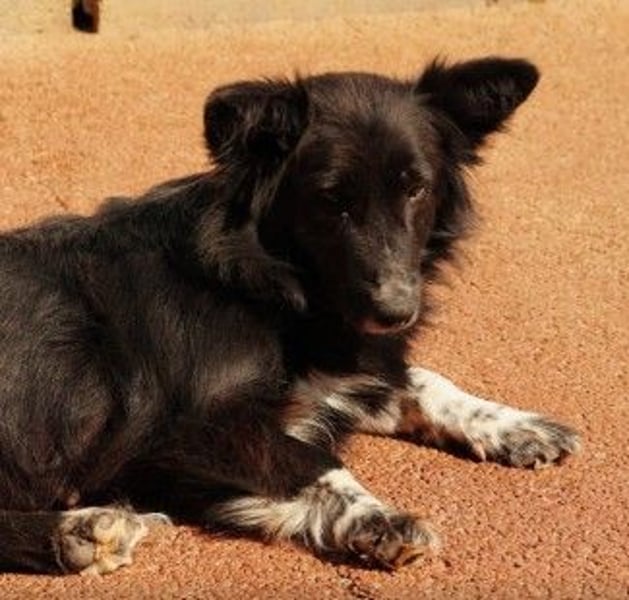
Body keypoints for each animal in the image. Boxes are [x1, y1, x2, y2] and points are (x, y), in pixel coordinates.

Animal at [0, 57, 579, 575]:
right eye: (331, 198)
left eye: (415, 188)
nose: (396, 312)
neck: (272, 286)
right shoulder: (174, 433)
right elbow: (310, 459)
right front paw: (378, 519)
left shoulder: (338, 377)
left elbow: (422, 381)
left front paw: (513, 424)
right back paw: (78, 532)